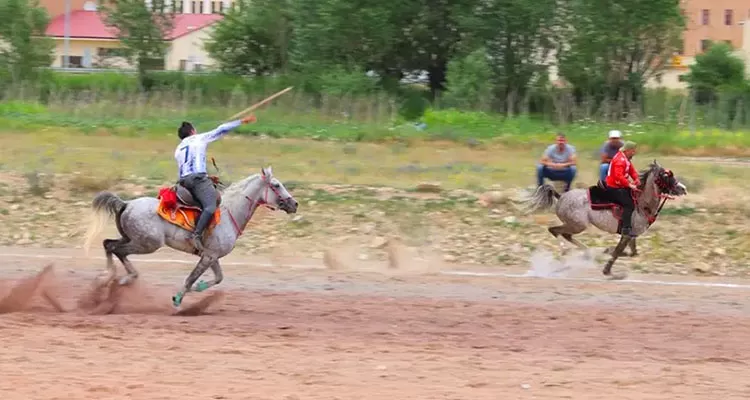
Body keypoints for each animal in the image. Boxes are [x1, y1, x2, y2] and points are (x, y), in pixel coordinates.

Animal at [84, 166, 300, 306]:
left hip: (131, 239)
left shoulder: (211, 256)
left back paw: (110, 279)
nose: (294, 204)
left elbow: (218, 278)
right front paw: (178, 298)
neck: (230, 213)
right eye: (276, 185)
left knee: (108, 244)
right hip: (146, 244)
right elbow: (190, 278)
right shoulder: (209, 256)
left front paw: (199, 287)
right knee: (116, 249)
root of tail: (126, 204)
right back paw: (120, 278)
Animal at [524, 160, 688, 278]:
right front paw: (607, 269)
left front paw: (606, 252)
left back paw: (586, 252)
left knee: (564, 234)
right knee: (555, 230)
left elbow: (631, 253)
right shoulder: (627, 234)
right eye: (665, 175)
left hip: (574, 225)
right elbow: (617, 252)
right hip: (577, 225)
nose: (683, 188)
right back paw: (565, 253)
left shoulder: (632, 235)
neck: (642, 204)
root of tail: (561, 196)